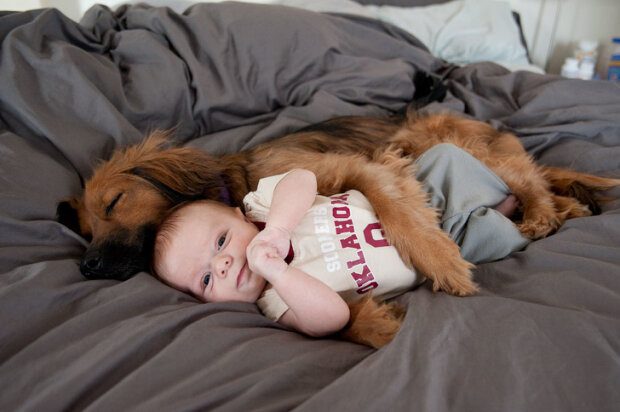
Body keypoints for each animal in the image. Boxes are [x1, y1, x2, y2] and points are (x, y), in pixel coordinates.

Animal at [57, 112, 616, 348]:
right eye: (85, 226)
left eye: (114, 202)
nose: (86, 266)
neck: (235, 184)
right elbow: (334, 319)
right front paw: (375, 324)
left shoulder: (356, 167)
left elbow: (396, 211)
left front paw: (441, 262)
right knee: (553, 191)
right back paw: (563, 211)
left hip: (437, 138)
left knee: (531, 178)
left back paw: (540, 212)